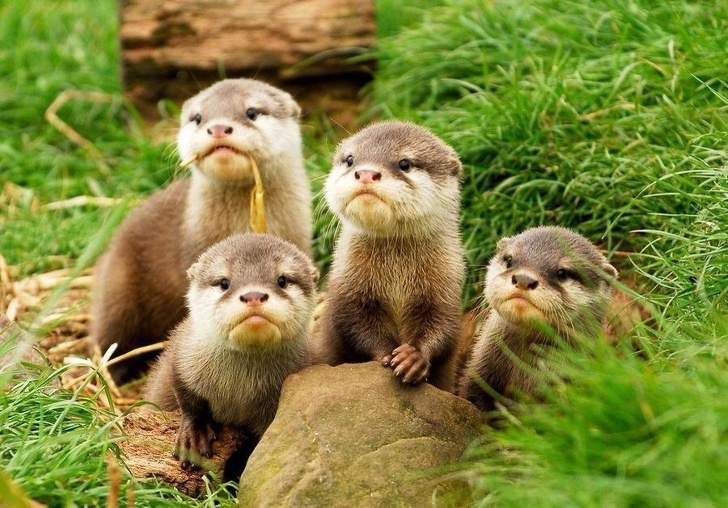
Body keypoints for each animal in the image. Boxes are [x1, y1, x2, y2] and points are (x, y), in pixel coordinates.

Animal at [144, 233, 318, 469]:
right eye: (224, 283)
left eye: (282, 280)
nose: (253, 295)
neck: (238, 390)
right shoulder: (181, 359)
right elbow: (187, 398)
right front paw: (194, 435)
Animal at [313, 121, 465, 391]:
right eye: (350, 159)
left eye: (405, 163)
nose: (366, 173)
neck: (396, 280)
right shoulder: (348, 294)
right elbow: (354, 327)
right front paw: (386, 354)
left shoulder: (445, 292)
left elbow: (443, 329)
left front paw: (413, 358)